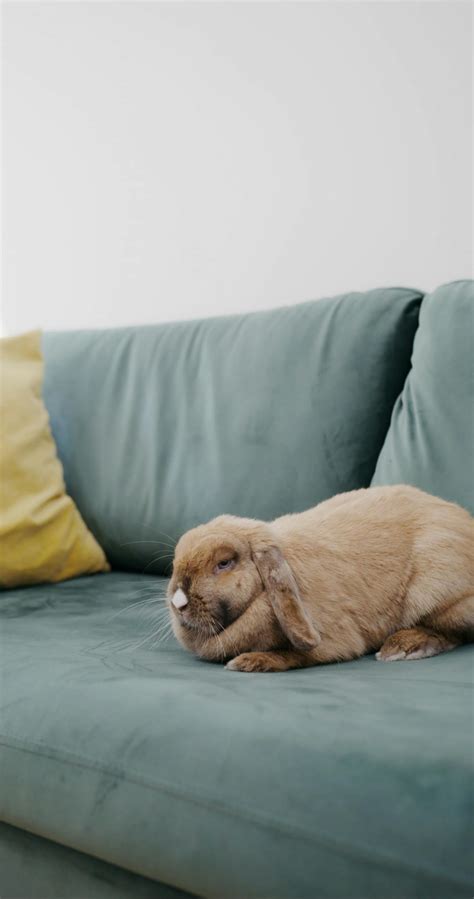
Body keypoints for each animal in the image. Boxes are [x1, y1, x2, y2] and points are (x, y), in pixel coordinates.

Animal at [166, 485, 474, 672]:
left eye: (224, 563)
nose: (178, 601)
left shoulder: (334, 640)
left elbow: (296, 654)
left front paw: (249, 662)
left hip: (439, 592)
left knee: (453, 631)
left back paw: (402, 648)